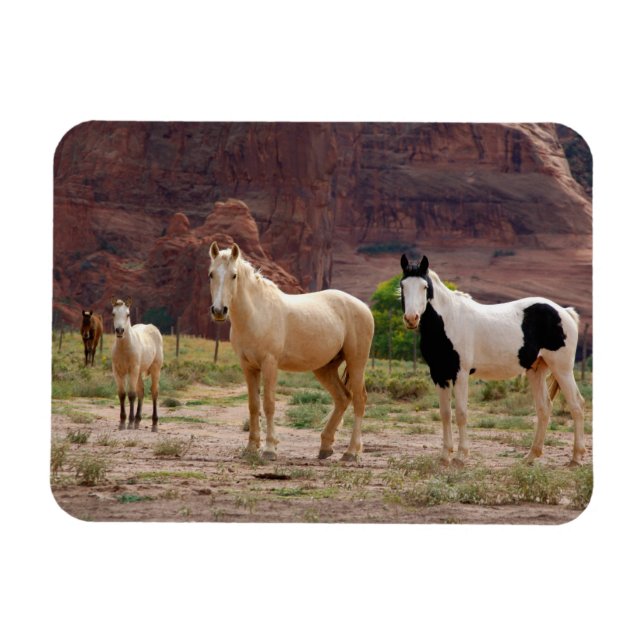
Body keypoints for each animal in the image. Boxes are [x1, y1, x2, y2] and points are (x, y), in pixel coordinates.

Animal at [111, 297, 164, 431]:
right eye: (113, 314)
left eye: (128, 314)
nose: (119, 331)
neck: (124, 348)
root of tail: (154, 328)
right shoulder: (117, 371)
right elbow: (122, 394)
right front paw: (122, 422)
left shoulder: (133, 370)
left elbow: (131, 394)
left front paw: (129, 422)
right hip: (139, 372)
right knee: (142, 391)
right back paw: (137, 421)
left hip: (155, 369)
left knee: (154, 392)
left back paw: (154, 424)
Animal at [208, 241, 374, 462]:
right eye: (211, 274)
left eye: (234, 275)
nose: (219, 311)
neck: (256, 313)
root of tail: (363, 307)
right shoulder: (248, 366)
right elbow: (253, 406)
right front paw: (251, 448)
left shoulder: (269, 364)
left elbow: (269, 404)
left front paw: (270, 449)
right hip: (325, 368)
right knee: (342, 398)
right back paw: (325, 447)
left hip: (357, 363)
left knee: (359, 400)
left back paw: (351, 452)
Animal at [399, 254, 585, 467]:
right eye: (403, 285)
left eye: (424, 286)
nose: (411, 318)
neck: (448, 321)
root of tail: (564, 312)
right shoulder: (439, 375)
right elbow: (445, 414)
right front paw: (445, 456)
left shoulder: (460, 374)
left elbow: (461, 413)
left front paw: (460, 457)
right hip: (536, 370)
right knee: (544, 408)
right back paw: (530, 456)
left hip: (562, 369)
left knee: (576, 405)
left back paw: (576, 458)